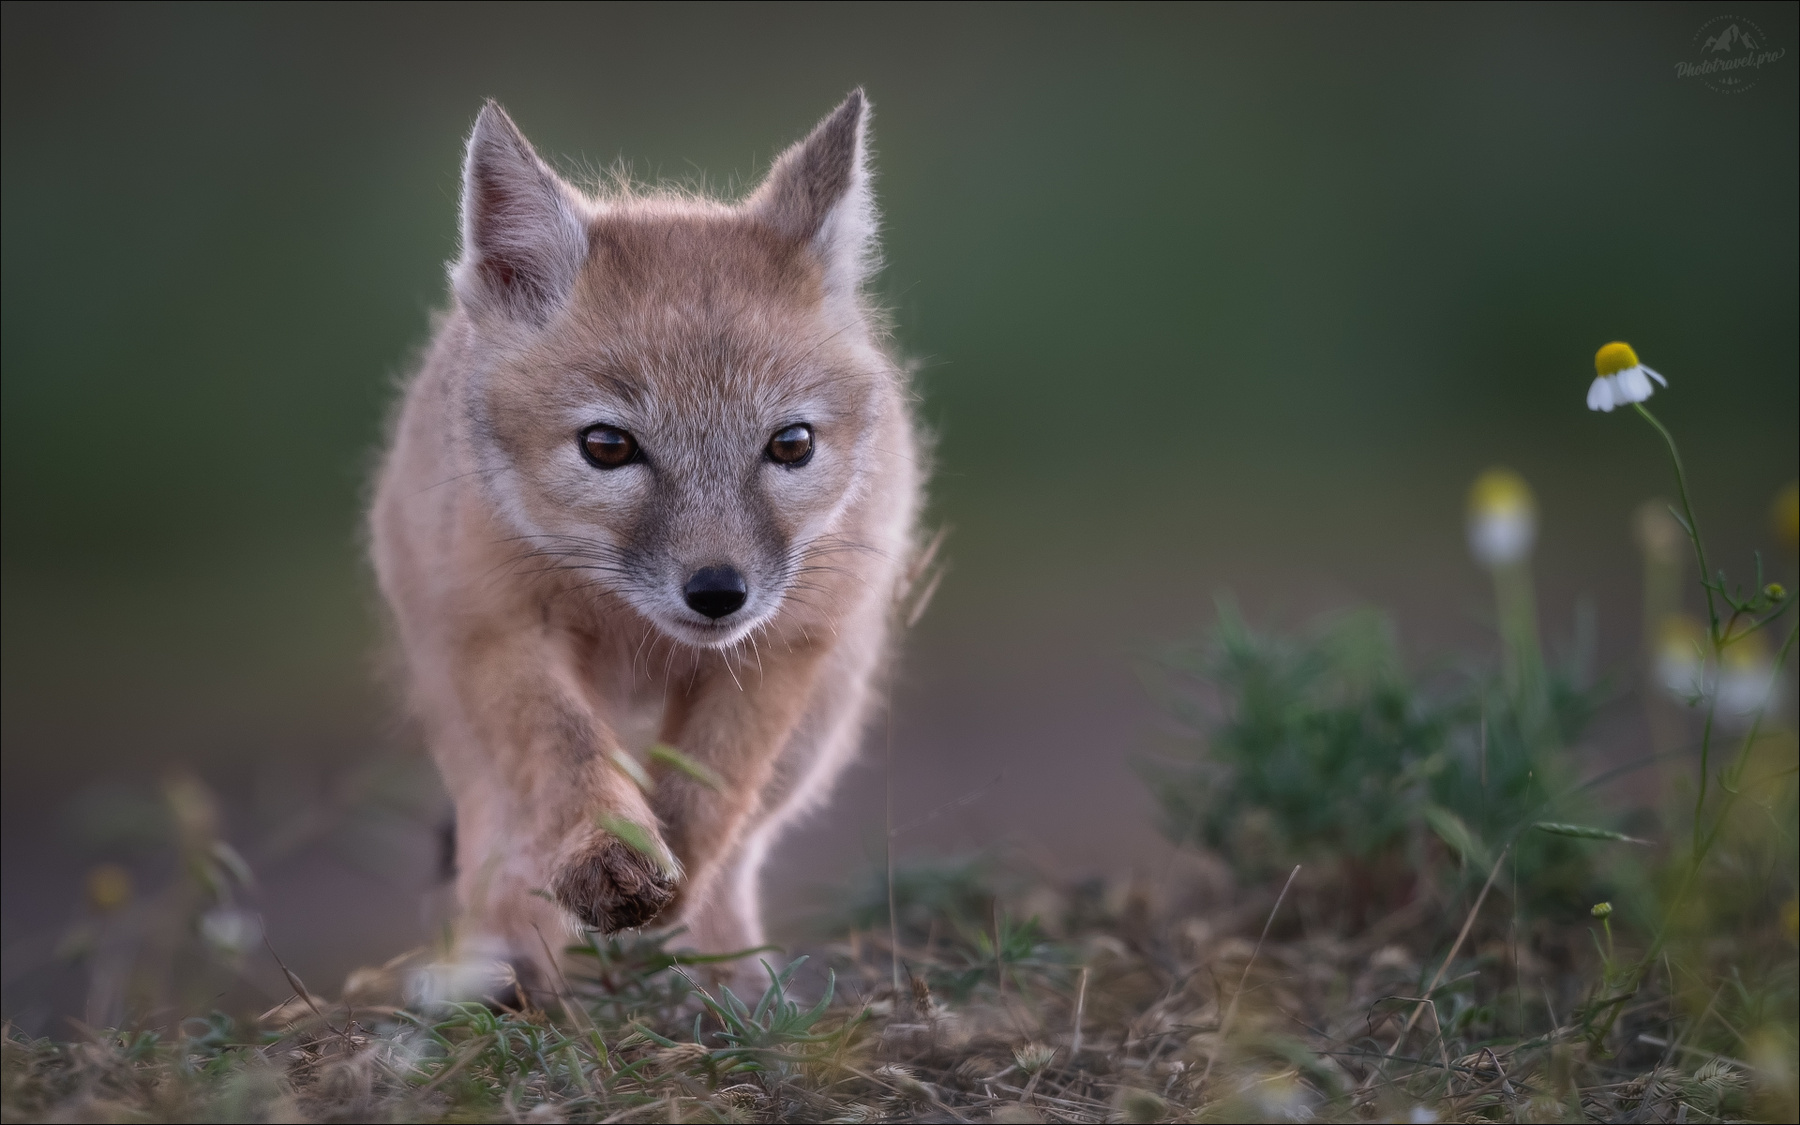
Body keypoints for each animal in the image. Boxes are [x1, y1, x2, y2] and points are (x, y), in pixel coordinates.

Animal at [369, 91, 925, 993]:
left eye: (791, 444)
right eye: (607, 446)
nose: (718, 591)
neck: (632, 627)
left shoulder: (783, 644)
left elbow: (709, 793)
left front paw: (669, 890)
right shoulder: (497, 628)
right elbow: (564, 751)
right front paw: (606, 854)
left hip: (820, 724)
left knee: (740, 850)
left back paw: (730, 978)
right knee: (497, 842)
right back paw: (508, 973)